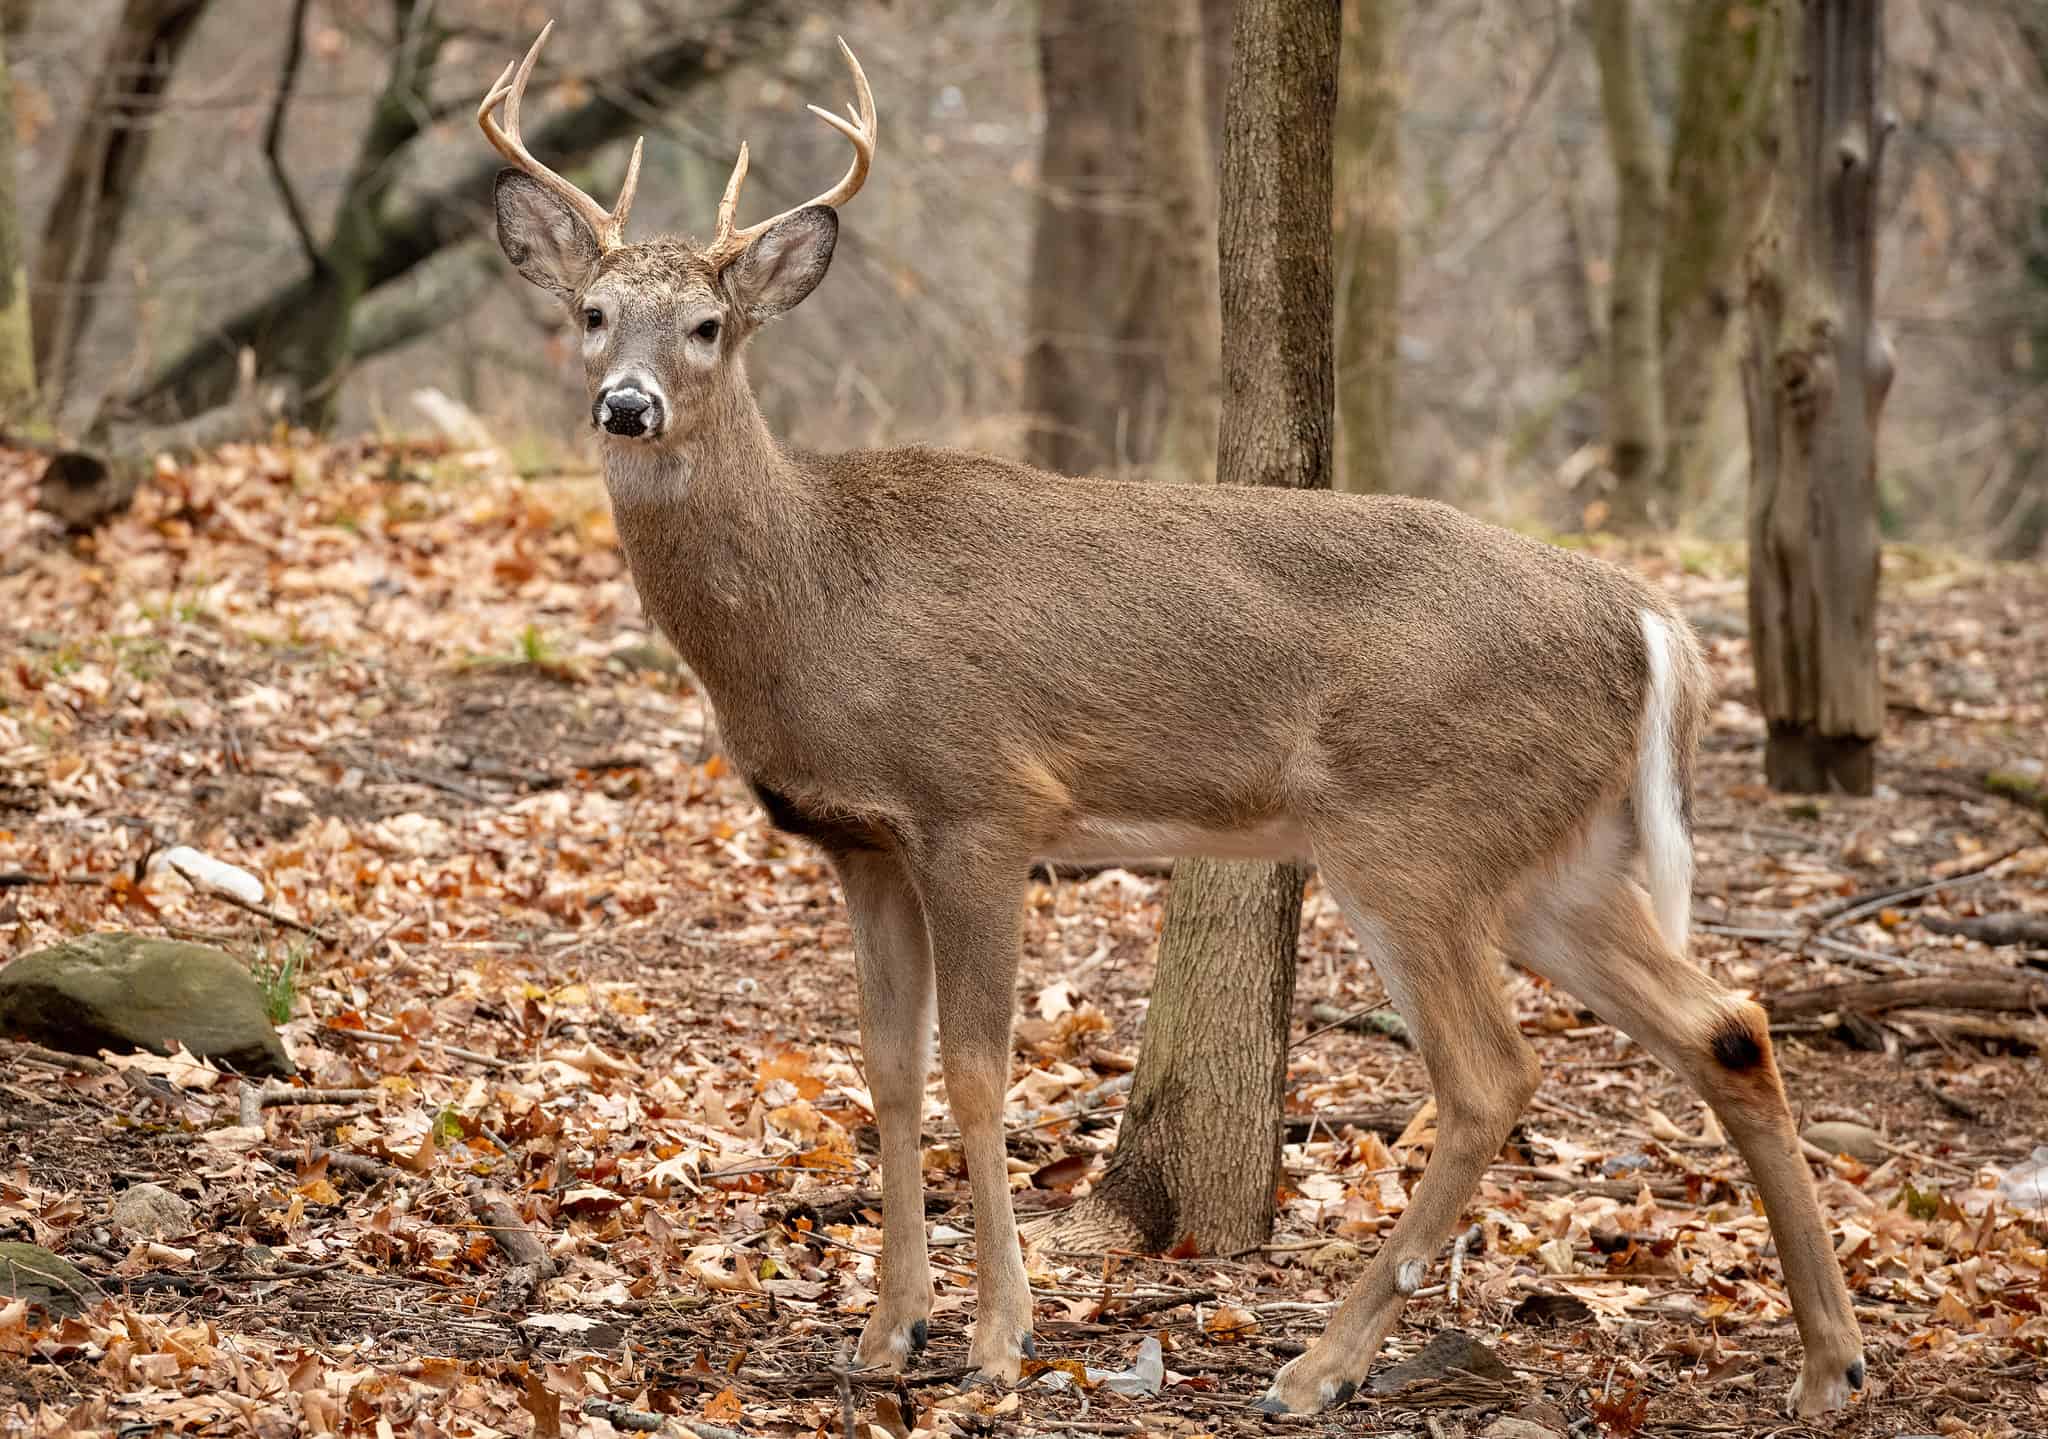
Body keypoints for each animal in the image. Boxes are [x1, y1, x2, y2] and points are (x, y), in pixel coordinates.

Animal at [479, 24, 1865, 1418]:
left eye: (709, 325)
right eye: (591, 314)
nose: (627, 404)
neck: (814, 597)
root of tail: (1643, 615)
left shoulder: (980, 804)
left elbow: (978, 1068)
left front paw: (996, 1339)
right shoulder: (859, 840)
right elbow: (886, 1068)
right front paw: (886, 1331)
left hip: (1413, 831)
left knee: (1492, 1076)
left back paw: (1315, 1367)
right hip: (1549, 857)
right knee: (1724, 1024)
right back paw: (1828, 1364)